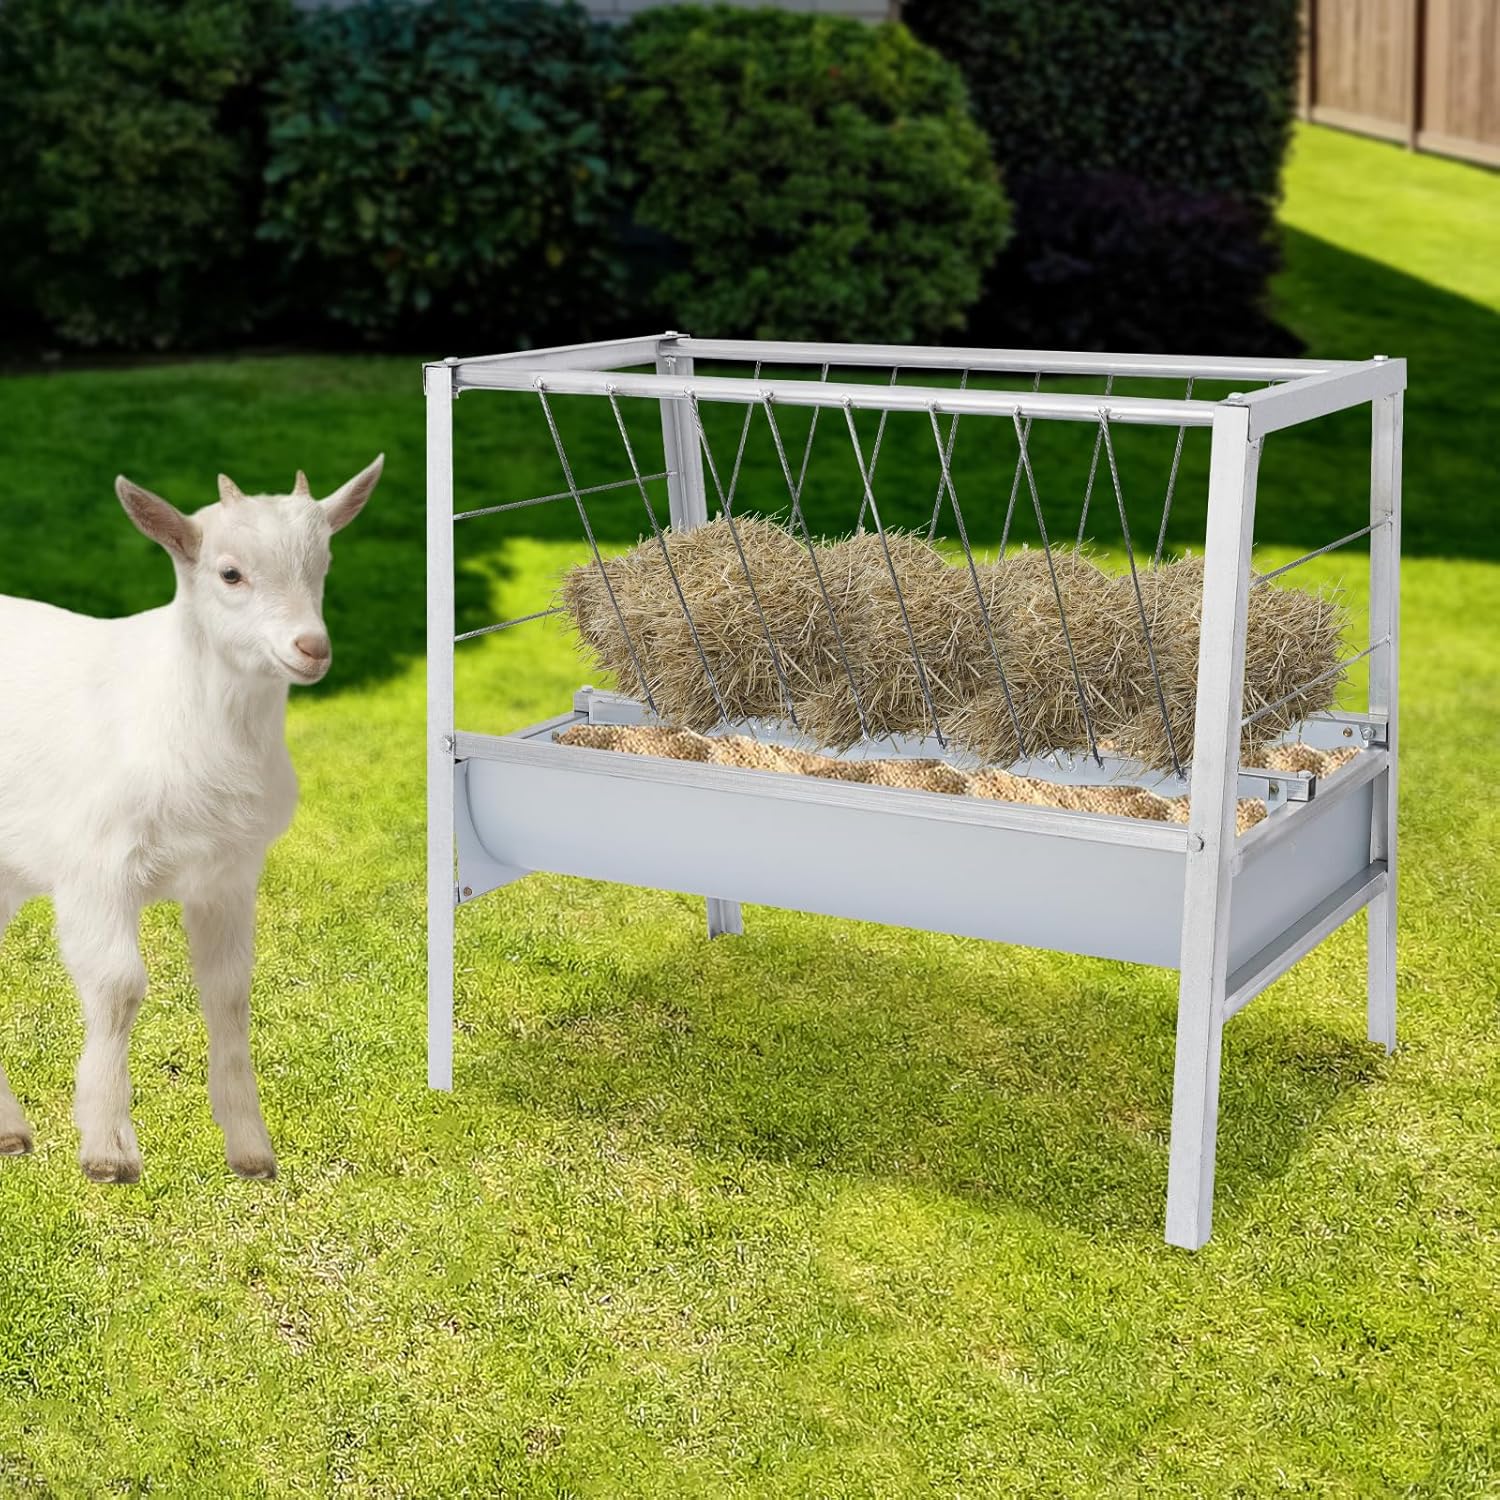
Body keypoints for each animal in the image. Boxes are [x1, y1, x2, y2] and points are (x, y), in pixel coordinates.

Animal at [0, 457, 383, 1183]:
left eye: (323, 562)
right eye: (230, 573)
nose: (311, 648)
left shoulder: (228, 875)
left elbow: (229, 992)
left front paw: (251, 1149)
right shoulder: (95, 866)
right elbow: (120, 986)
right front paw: (107, 1150)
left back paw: (9, 1131)